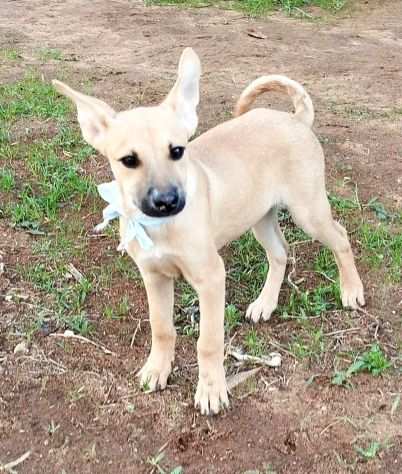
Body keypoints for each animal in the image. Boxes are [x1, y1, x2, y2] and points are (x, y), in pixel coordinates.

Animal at [53, 47, 364, 414]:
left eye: (177, 151)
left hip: (308, 210)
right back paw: (265, 303)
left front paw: (212, 390)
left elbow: (209, 341)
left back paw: (351, 290)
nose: (167, 201)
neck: (161, 228)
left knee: (340, 237)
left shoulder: (212, 278)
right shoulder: (154, 277)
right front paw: (157, 369)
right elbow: (161, 328)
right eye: (129, 160)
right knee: (280, 253)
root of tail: (295, 119)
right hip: (259, 217)